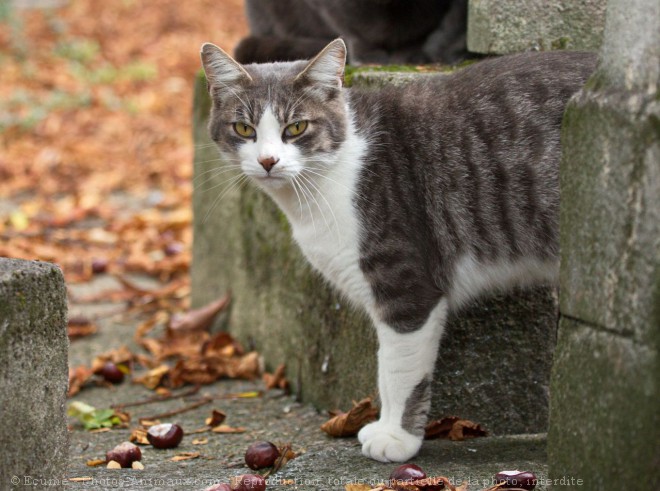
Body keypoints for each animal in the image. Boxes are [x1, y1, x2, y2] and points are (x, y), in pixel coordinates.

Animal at [199, 40, 596, 464]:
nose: (268, 161)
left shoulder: (407, 288)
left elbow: (396, 370)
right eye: (244, 129)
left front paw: (395, 438)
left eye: (297, 128)